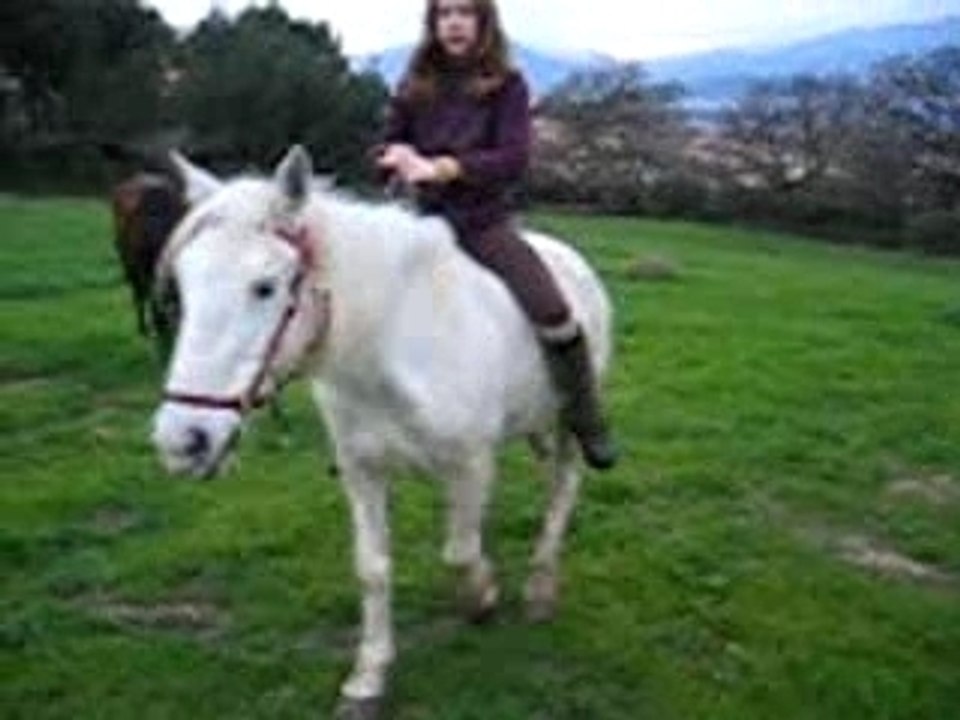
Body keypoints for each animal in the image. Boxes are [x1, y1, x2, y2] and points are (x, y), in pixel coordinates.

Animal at [151, 146, 614, 719]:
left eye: (265, 287)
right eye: (183, 286)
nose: (182, 441)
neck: (387, 347)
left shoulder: (469, 464)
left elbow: (458, 551)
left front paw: (481, 598)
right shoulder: (363, 473)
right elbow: (372, 568)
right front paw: (368, 677)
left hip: (569, 423)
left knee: (563, 486)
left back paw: (541, 588)